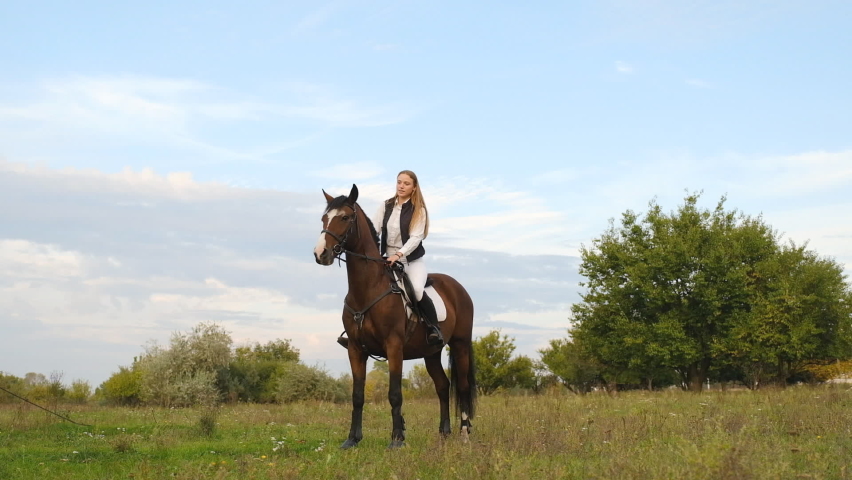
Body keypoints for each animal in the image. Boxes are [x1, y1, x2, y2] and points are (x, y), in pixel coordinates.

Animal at [313, 184, 477, 449]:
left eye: (345, 218)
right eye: (324, 218)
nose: (321, 254)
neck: (368, 288)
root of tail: (458, 288)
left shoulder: (394, 347)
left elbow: (394, 393)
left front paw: (397, 439)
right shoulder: (355, 349)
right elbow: (357, 395)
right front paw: (352, 439)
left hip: (460, 345)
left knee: (461, 387)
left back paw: (463, 434)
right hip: (431, 352)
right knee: (443, 386)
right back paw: (444, 433)